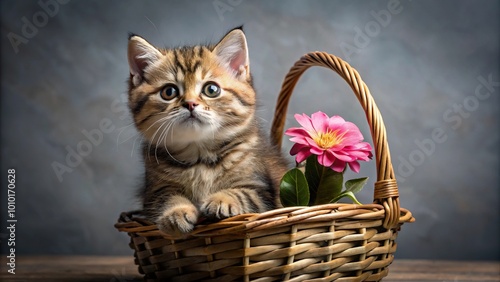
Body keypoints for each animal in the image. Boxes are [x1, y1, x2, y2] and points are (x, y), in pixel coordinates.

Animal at [126, 27, 290, 237]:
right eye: (169, 92)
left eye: (211, 89)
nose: (190, 103)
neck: (199, 158)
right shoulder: (154, 192)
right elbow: (167, 198)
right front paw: (175, 213)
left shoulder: (263, 192)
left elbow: (244, 193)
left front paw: (222, 200)